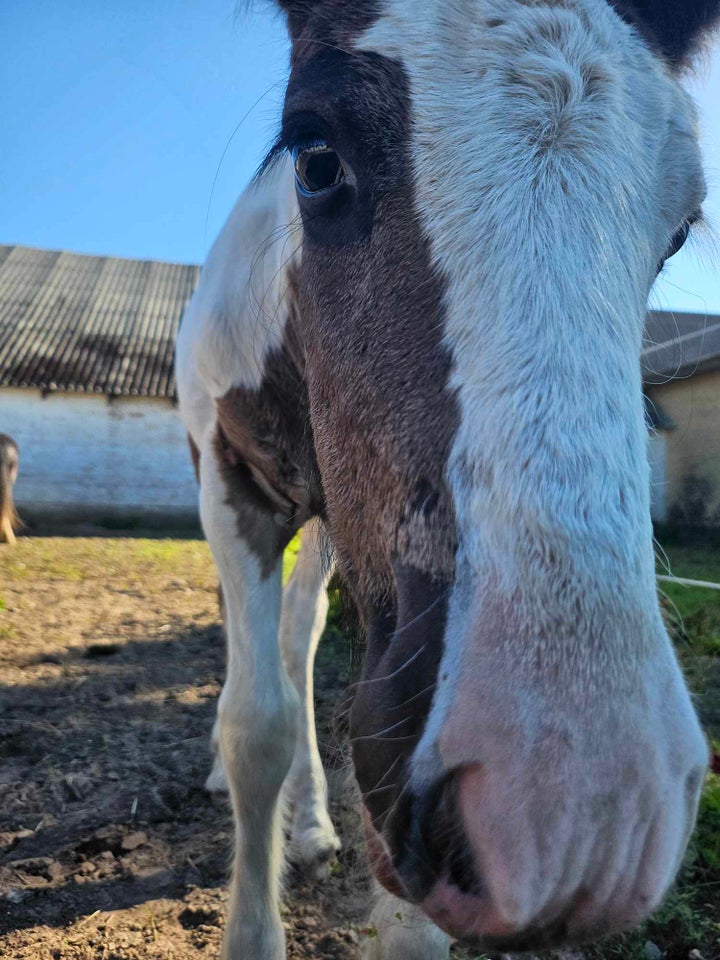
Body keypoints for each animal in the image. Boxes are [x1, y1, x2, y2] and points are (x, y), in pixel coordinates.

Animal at [176, 1, 720, 960]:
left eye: (682, 227)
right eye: (315, 157)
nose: (567, 812)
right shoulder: (232, 483)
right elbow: (254, 727)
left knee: (299, 635)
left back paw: (313, 824)